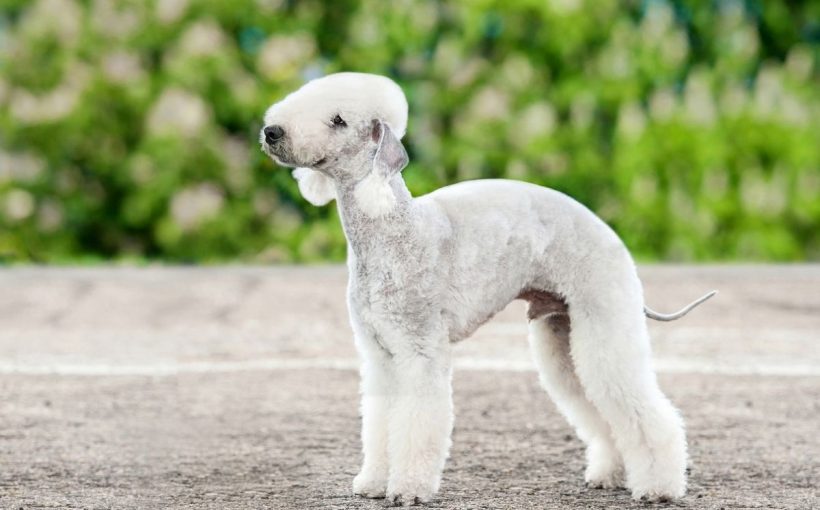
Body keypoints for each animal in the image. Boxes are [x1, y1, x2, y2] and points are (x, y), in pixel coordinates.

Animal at [260, 72, 716, 506]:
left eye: (338, 120)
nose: (271, 132)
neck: (391, 228)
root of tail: (610, 234)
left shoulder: (420, 351)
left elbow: (417, 423)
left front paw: (407, 489)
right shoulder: (380, 355)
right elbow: (380, 422)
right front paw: (373, 483)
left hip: (605, 321)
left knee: (643, 407)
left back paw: (659, 487)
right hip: (563, 334)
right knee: (595, 406)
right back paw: (612, 474)